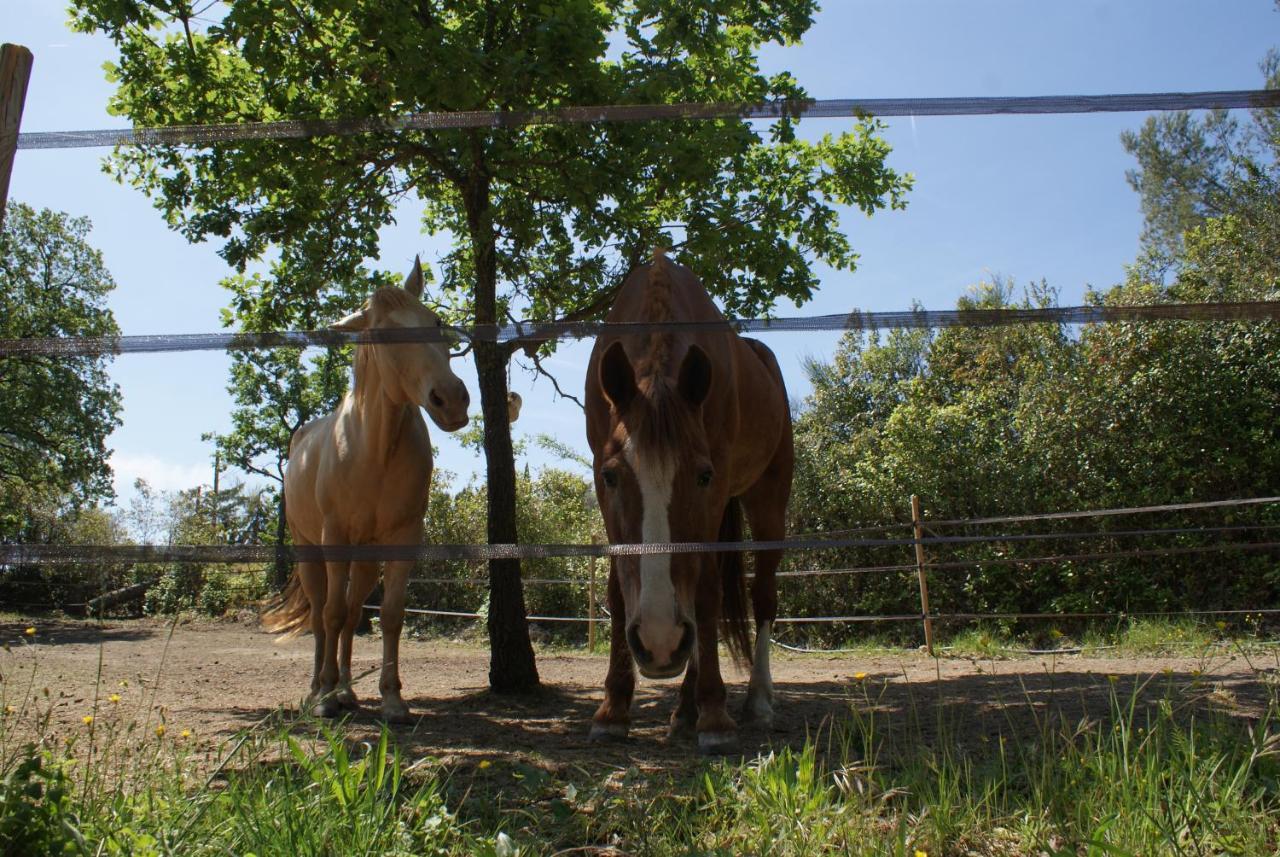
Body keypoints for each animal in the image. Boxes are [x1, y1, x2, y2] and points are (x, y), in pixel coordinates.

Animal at [262, 259, 468, 726]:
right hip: (309, 551)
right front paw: (323, 698)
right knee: (324, 614)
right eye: (385, 333)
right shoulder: (334, 538)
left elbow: (390, 615)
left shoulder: (404, 538)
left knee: (353, 611)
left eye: (435, 321)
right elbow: (331, 615)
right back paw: (319, 690)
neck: (374, 447)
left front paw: (392, 699)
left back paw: (347, 690)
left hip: (366, 559)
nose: (452, 400)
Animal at [586, 251, 788, 757]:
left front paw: (714, 715)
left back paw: (754, 700)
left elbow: (707, 593)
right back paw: (683, 710)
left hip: (768, 501)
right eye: (611, 476)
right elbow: (618, 591)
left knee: (761, 596)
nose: (659, 642)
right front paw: (613, 709)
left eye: (703, 475)